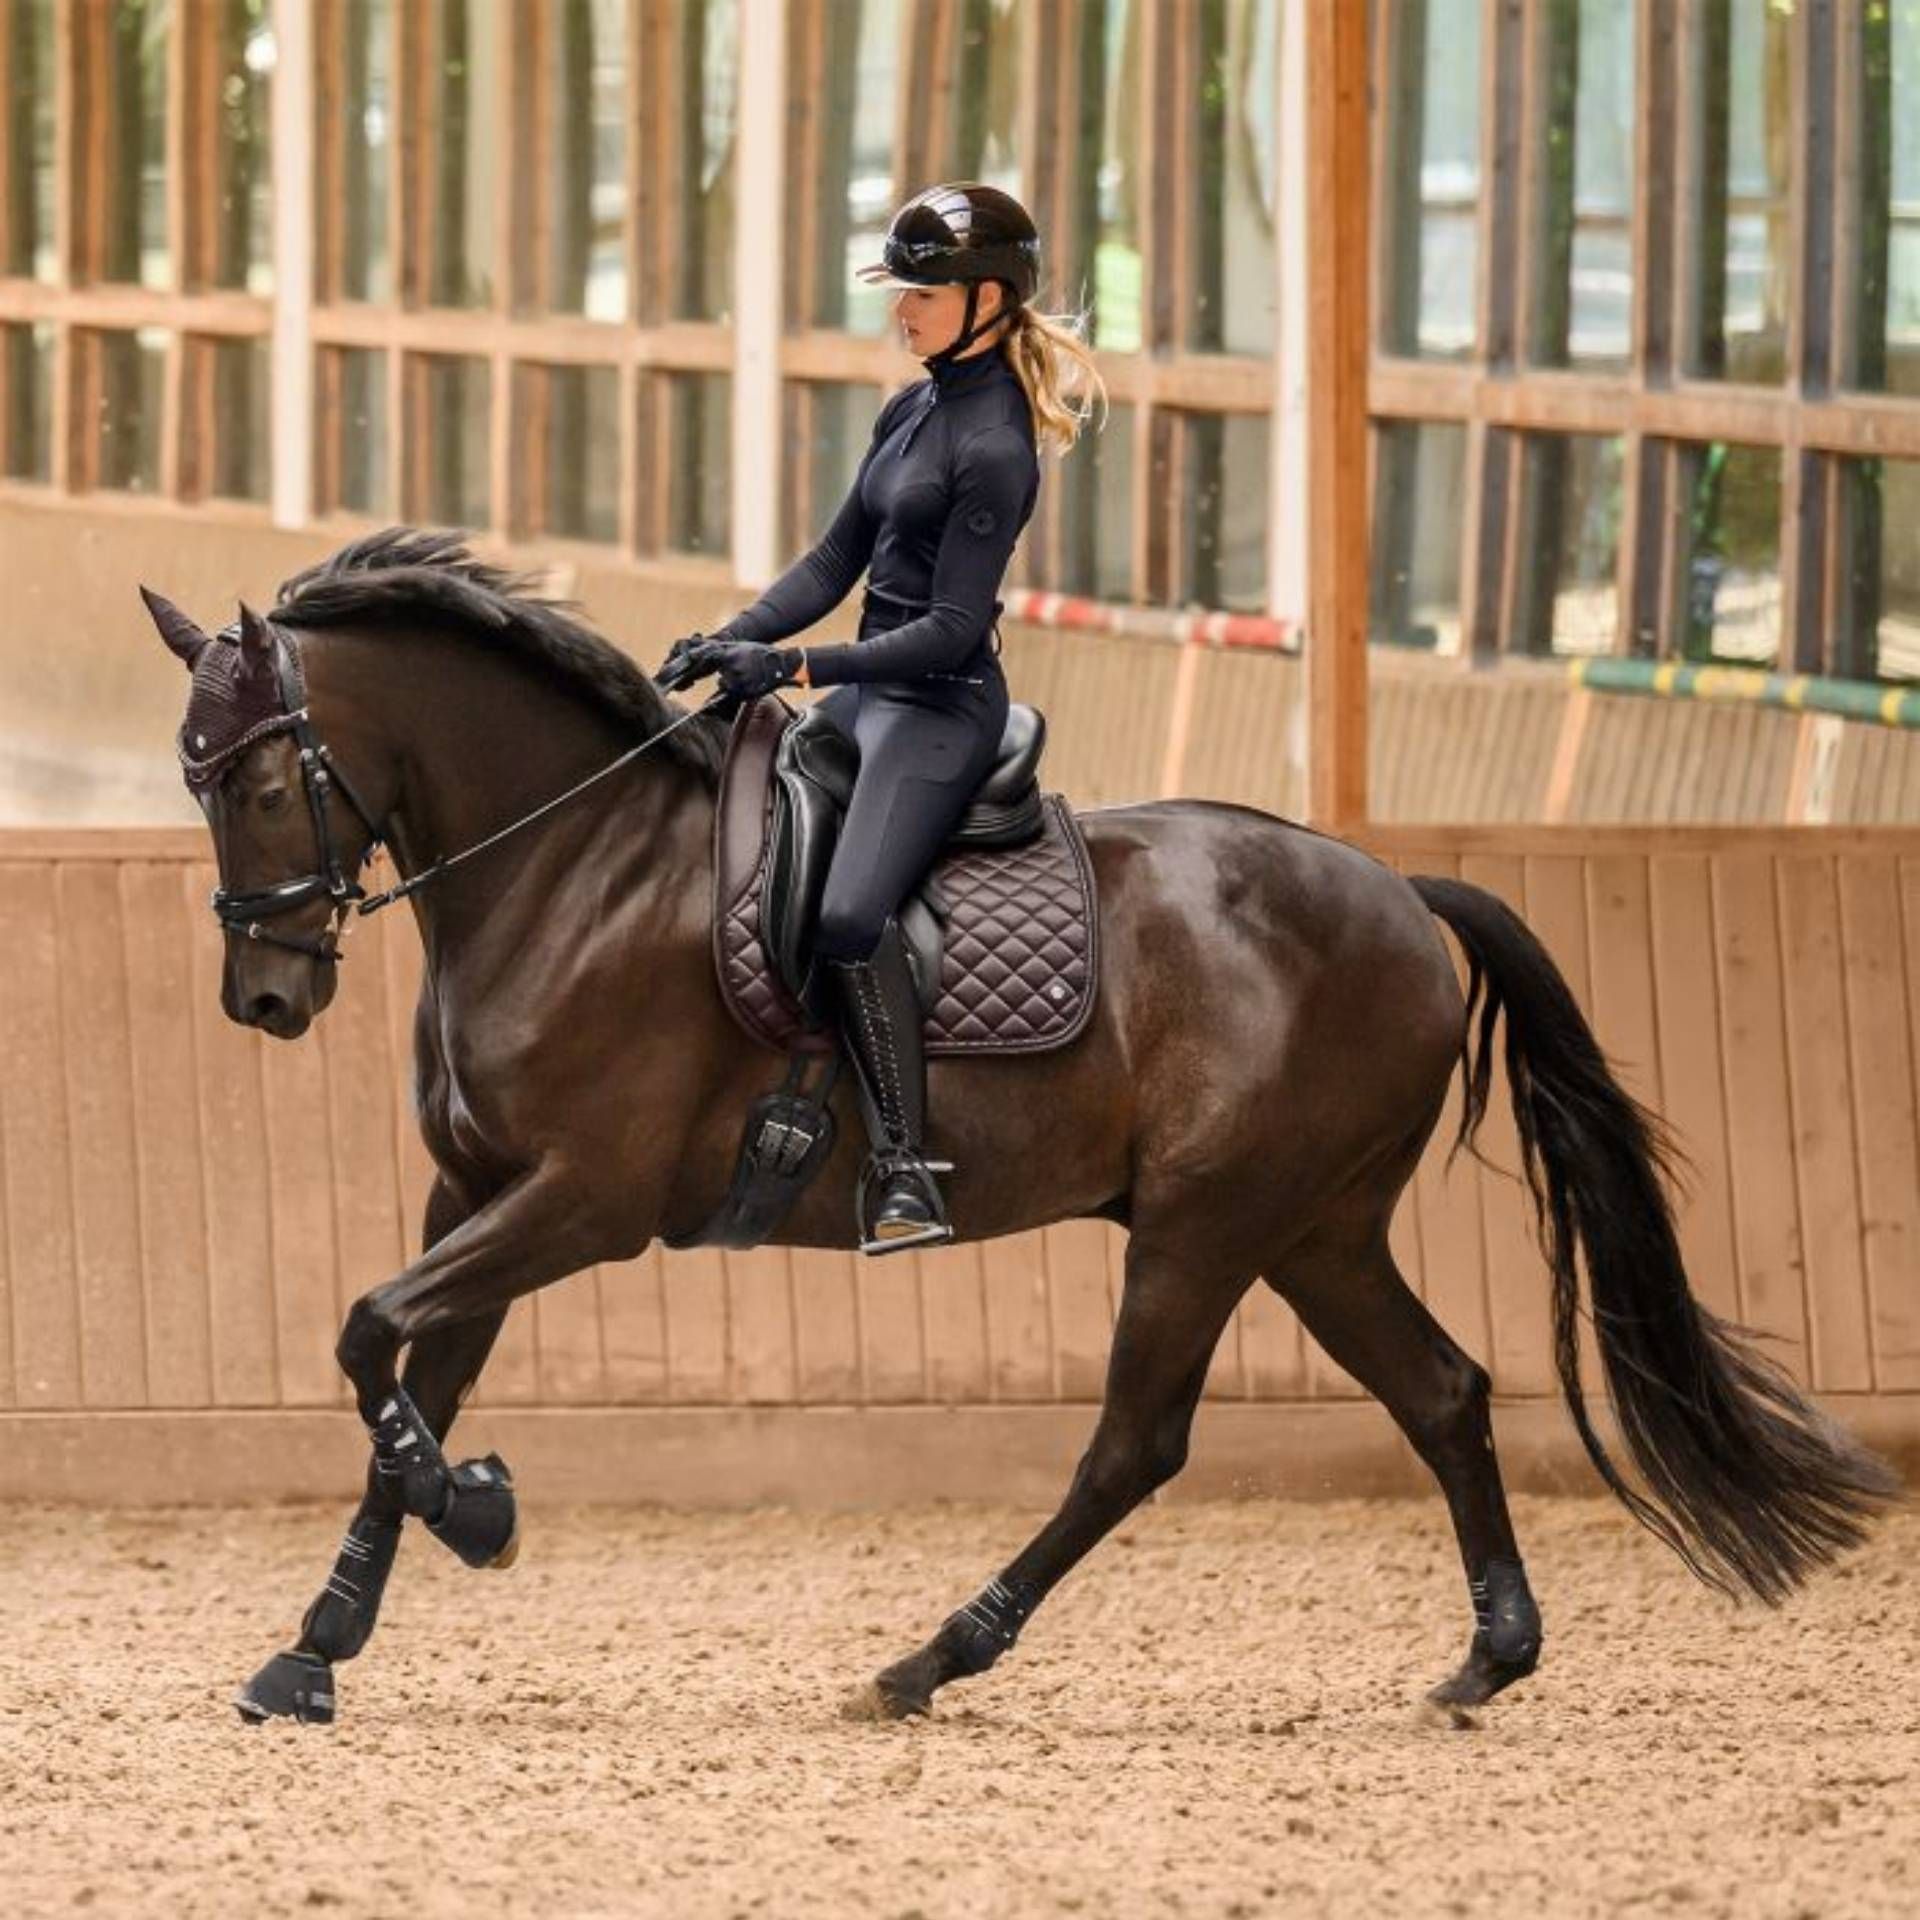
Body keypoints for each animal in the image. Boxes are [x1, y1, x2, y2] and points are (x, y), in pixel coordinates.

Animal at [140, 528, 1896, 1727]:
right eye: (195, 781)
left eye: (263, 785)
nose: (264, 997)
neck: (570, 867)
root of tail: (1402, 892)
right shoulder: (477, 1195)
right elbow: (400, 1376)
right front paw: (316, 1648)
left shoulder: (583, 1200)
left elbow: (368, 1337)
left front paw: (483, 1514)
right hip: (1315, 1229)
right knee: (1444, 1395)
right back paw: (1490, 1658)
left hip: (1208, 1226)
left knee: (1137, 1442)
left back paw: (932, 1657)